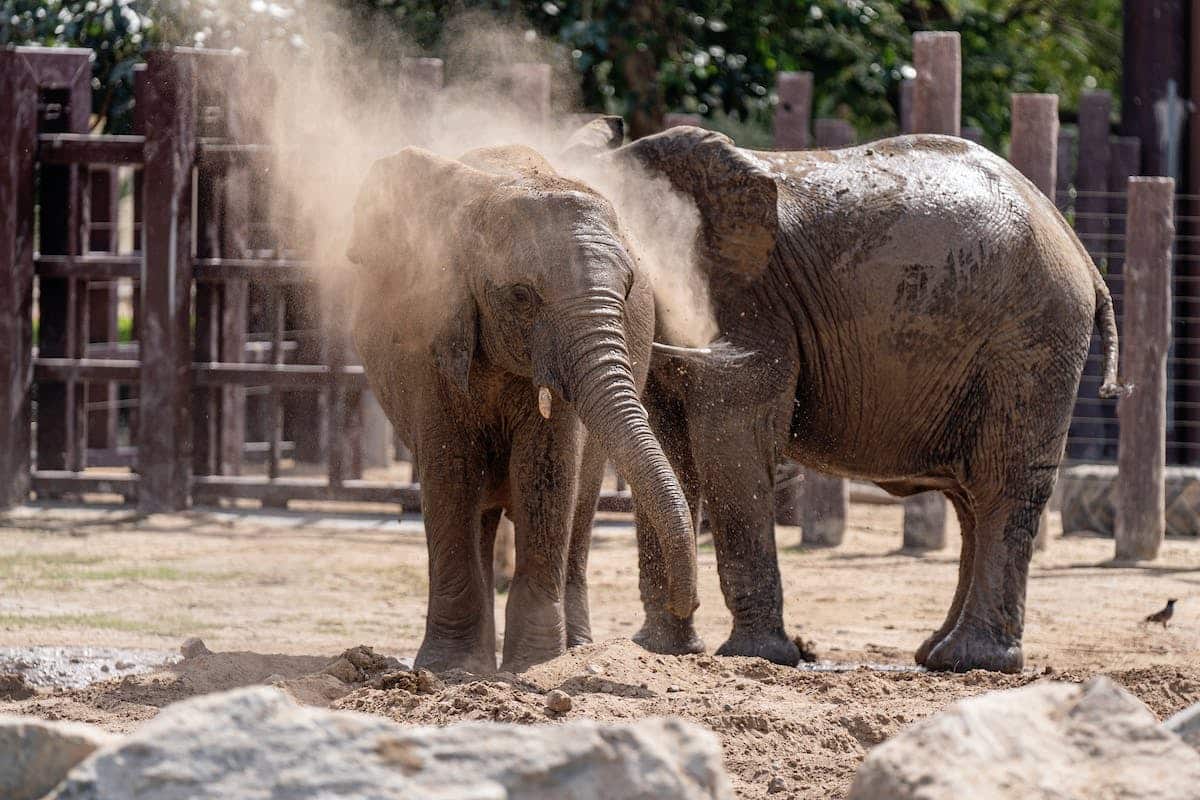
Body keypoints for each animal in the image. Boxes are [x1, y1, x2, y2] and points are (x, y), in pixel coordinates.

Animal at [343, 133, 700, 676]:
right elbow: (450, 472)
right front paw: (446, 669)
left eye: (627, 290)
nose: (688, 604)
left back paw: (574, 650)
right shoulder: (431, 336)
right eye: (520, 295)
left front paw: (534, 667)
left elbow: (546, 475)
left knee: (580, 505)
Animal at [604, 126, 1128, 676]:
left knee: (1002, 484)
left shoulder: (749, 303)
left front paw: (755, 656)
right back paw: (938, 655)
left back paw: (974, 661)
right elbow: (670, 447)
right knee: (972, 499)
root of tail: (1078, 248)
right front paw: (659, 650)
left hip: (1032, 337)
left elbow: (734, 442)